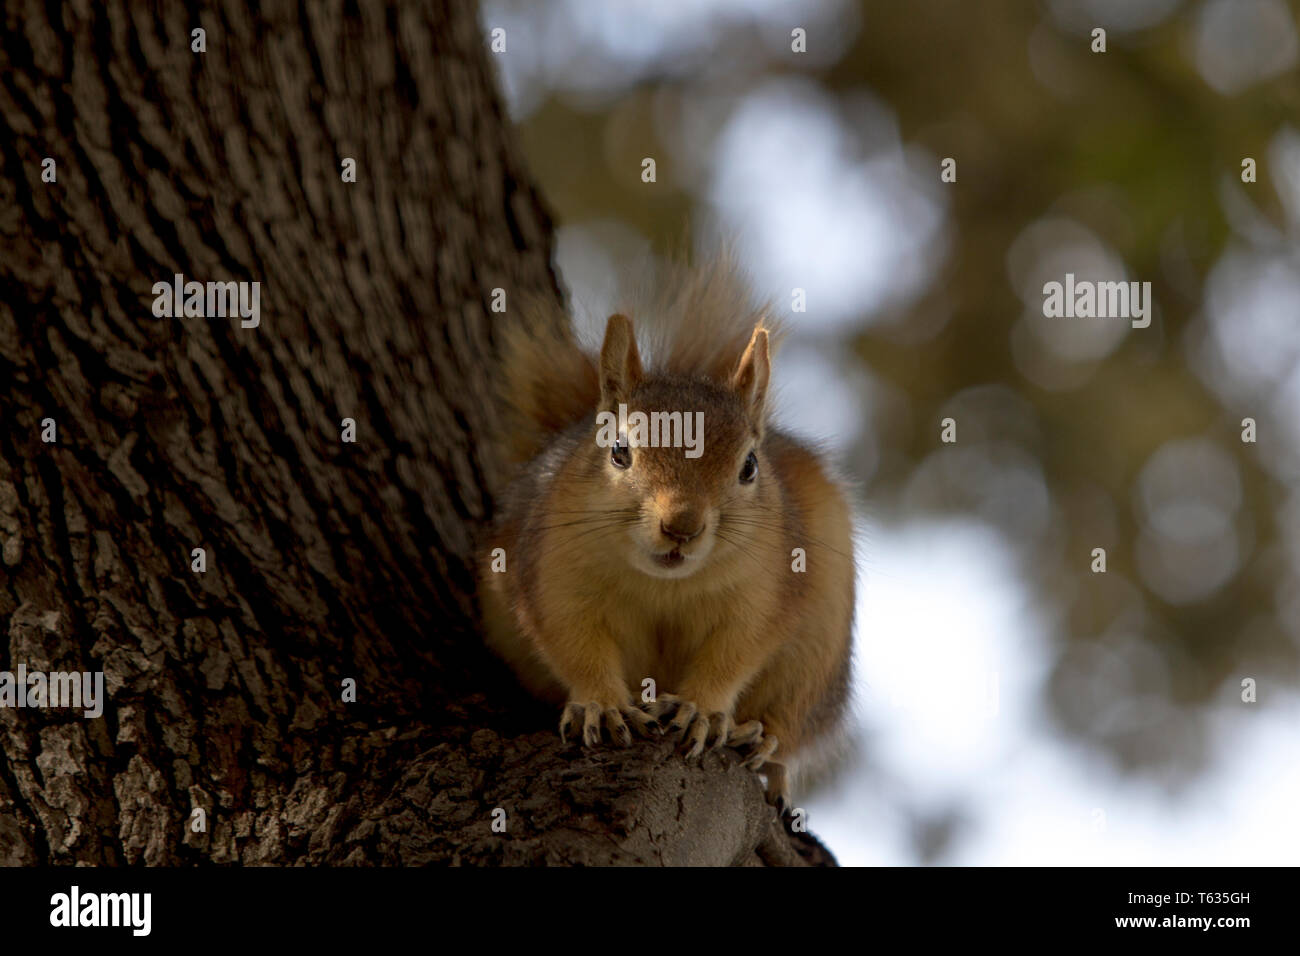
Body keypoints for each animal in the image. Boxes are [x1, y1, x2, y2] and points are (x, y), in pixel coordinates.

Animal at [478, 257, 855, 811]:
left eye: (749, 466)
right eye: (618, 450)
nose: (682, 525)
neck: (664, 586)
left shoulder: (768, 590)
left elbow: (736, 651)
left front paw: (700, 708)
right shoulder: (550, 575)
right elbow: (572, 641)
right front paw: (601, 704)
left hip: (818, 659)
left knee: (792, 719)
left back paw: (765, 746)